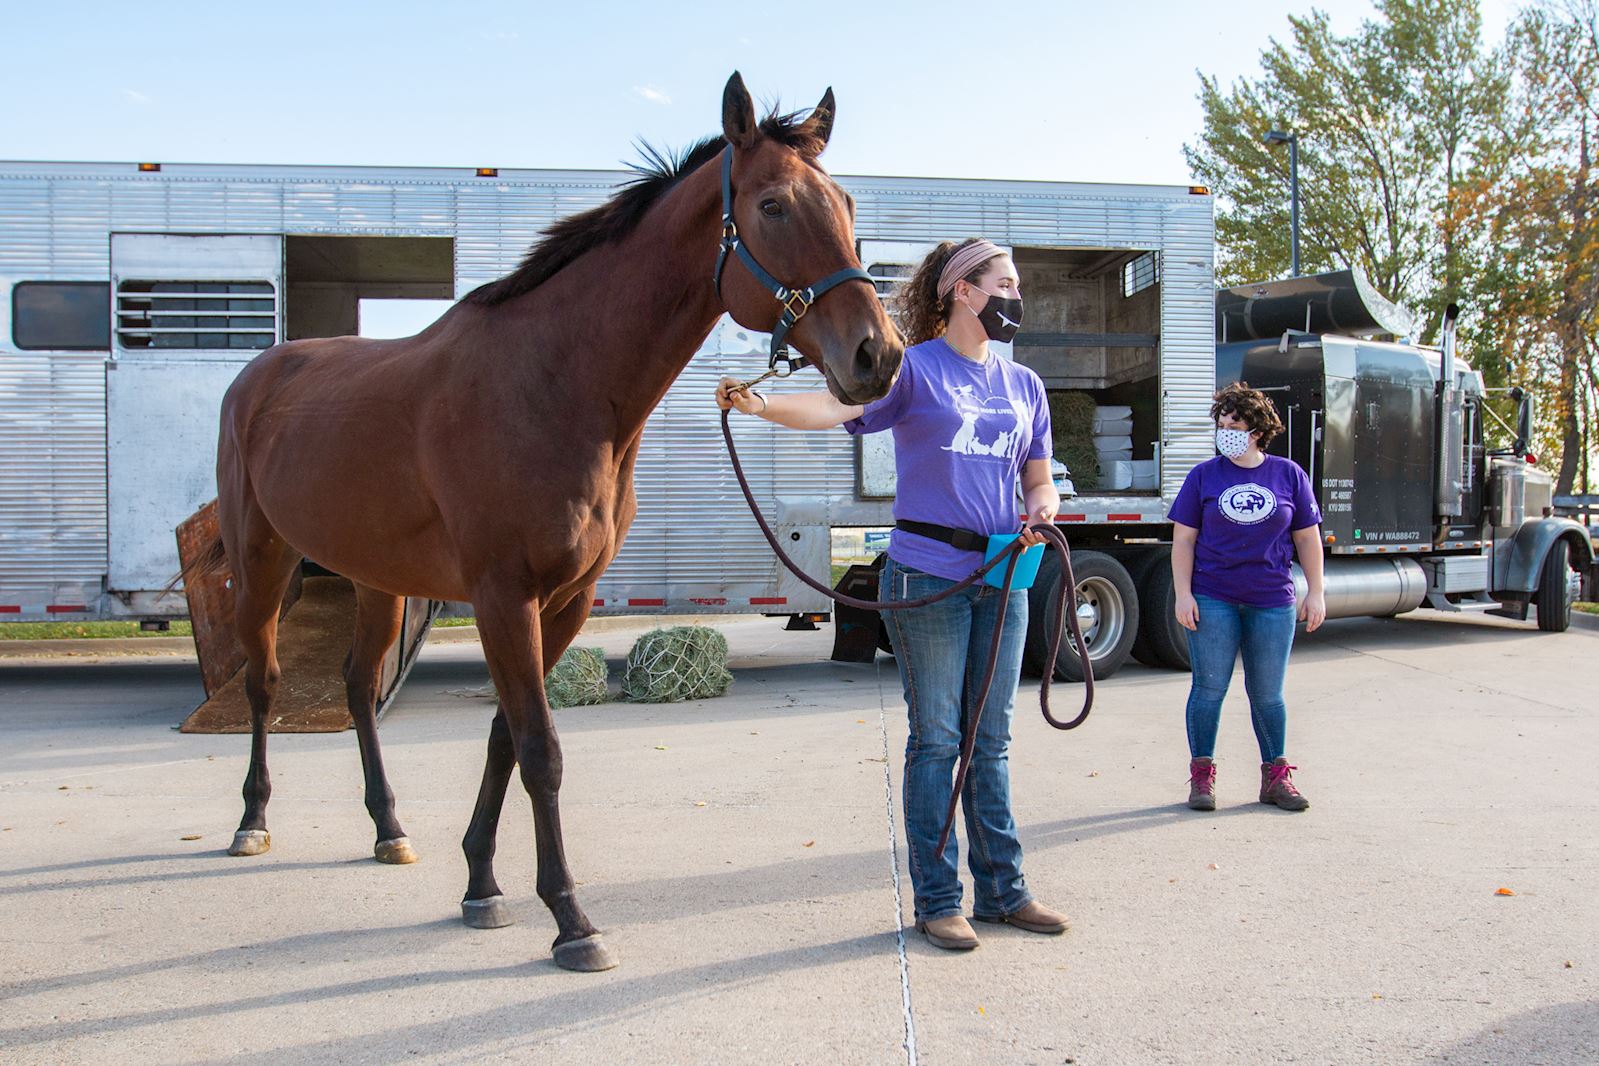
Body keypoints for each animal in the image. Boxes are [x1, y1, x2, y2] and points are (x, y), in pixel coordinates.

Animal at [187, 73, 901, 978]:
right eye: (772, 205)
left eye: (843, 201)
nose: (878, 355)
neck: (556, 382)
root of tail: (260, 374)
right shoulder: (503, 596)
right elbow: (540, 749)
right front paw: (569, 919)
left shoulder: (564, 600)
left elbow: (504, 737)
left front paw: (481, 884)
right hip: (263, 560)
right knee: (263, 681)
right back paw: (252, 822)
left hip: (377, 580)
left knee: (354, 685)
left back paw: (389, 829)